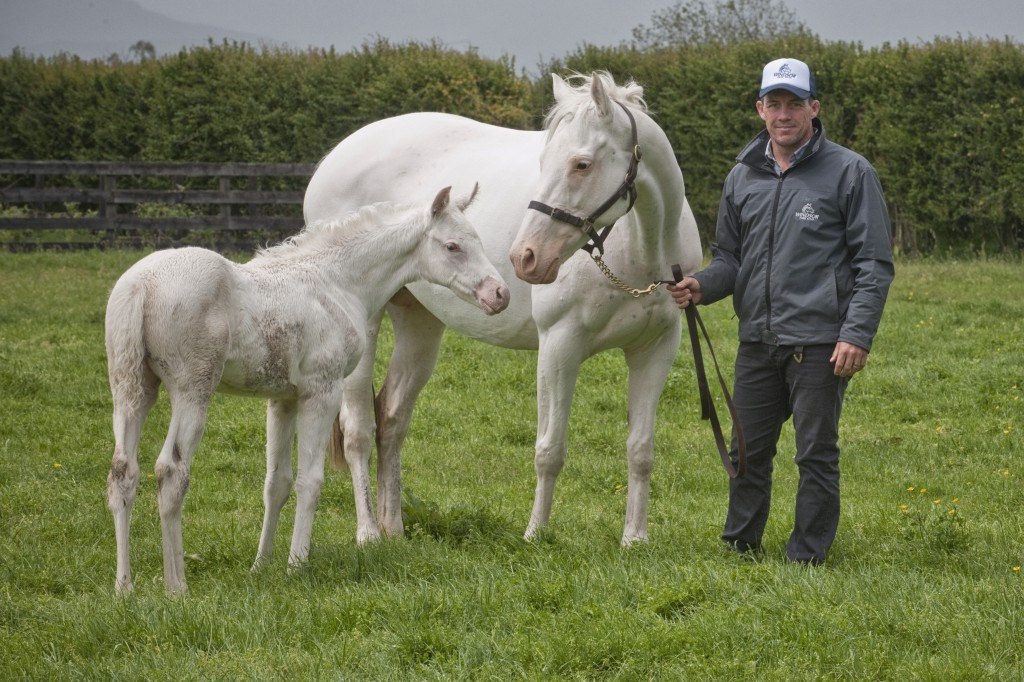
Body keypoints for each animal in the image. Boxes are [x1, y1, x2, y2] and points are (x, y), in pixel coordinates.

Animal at [105, 184, 509, 589]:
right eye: (453, 246)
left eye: (478, 240)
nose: (500, 294)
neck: (337, 282)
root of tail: (141, 286)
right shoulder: (322, 390)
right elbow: (310, 480)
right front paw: (296, 565)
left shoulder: (281, 399)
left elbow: (277, 483)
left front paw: (260, 566)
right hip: (192, 390)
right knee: (172, 471)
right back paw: (177, 586)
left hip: (132, 388)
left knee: (124, 471)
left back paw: (124, 586)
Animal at [303, 71, 704, 544]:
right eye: (544, 160)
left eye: (581, 164)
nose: (525, 257)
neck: (641, 252)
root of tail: (334, 159)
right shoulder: (559, 345)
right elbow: (550, 448)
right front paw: (536, 534)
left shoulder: (656, 349)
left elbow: (641, 450)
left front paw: (634, 539)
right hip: (363, 330)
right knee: (359, 431)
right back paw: (368, 533)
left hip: (420, 324)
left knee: (393, 420)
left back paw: (394, 529)